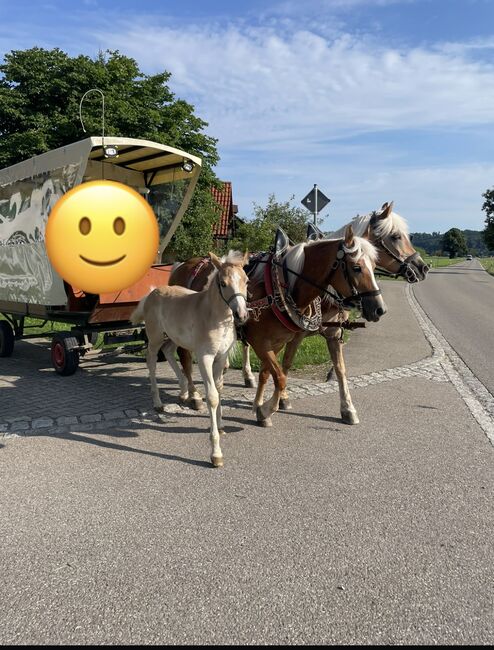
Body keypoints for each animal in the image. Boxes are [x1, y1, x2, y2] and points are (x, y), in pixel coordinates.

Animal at [131, 248, 249, 466]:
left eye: (246, 281)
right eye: (223, 283)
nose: (242, 315)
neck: (213, 315)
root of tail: (152, 293)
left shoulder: (221, 357)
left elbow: (219, 390)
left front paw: (221, 426)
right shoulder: (205, 358)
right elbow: (212, 397)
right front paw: (216, 453)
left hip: (174, 338)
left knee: (169, 351)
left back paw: (184, 392)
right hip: (155, 338)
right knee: (151, 361)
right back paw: (158, 403)